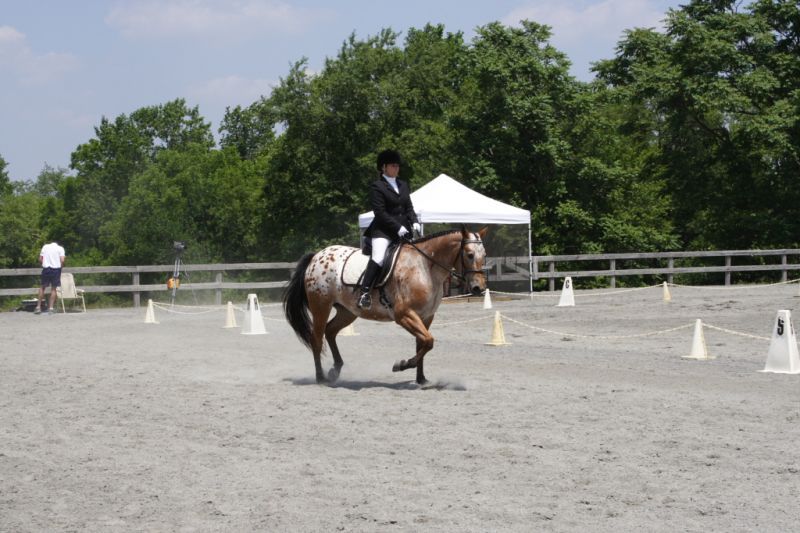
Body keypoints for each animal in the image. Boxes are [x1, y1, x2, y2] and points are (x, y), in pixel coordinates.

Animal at [283, 226, 488, 385]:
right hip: (321, 307)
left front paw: (421, 379)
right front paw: (402, 365)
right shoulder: (404, 315)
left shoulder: (426, 316)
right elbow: (428, 341)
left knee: (330, 331)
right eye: (469, 255)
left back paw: (336, 369)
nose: (478, 288)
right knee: (316, 339)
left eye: (484, 255)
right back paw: (321, 377)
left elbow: (422, 343)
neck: (425, 268)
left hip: (347, 311)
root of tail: (317, 256)